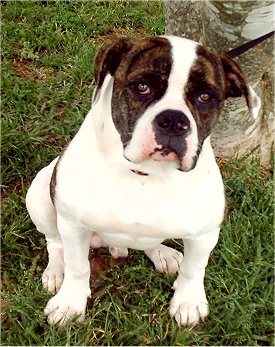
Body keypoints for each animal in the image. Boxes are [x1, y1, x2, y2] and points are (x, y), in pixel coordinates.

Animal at [25, 35, 260, 326]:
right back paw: (56, 271)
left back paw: (163, 254)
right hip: (40, 192)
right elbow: (77, 267)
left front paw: (188, 302)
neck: (145, 174)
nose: (173, 120)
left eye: (205, 96)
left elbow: (194, 269)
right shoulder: (72, 224)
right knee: (54, 242)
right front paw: (70, 304)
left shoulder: (205, 234)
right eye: (142, 87)